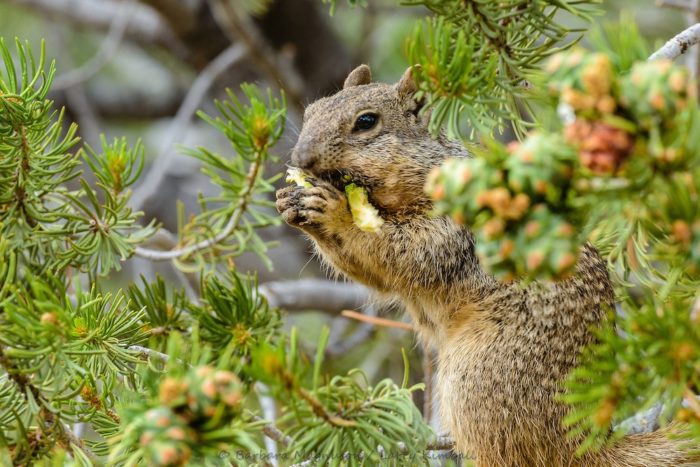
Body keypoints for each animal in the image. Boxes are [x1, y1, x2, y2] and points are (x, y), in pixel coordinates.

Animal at [274, 66, 696, 467]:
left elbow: (403, 253)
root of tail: (584, 443)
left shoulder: (451, 228)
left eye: (366, 121)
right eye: (311, 111)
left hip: (478, 379)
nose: (300, 160)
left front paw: (334, 212)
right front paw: (289, 202)